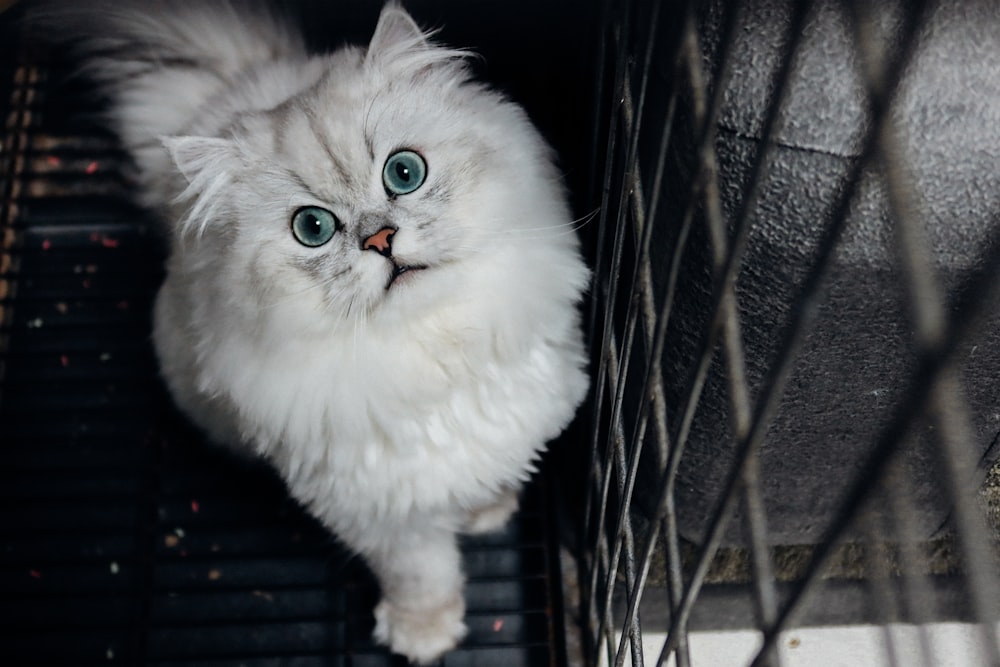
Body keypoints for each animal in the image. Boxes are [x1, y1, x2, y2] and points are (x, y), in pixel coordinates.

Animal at [35, 1, 588, 664]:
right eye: (313, 228)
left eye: (405, 172)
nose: (380, 239)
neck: (433, 354)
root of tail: (226, 92)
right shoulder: (379, 514)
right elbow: (422, 573)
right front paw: (424, 634)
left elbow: (494, 472)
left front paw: (488, 508)